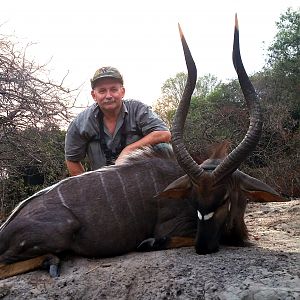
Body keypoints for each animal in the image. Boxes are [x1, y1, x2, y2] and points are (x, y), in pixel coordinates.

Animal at [0, 15, 284, 278]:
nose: (204, 248)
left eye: (224, 198)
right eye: (193, 200)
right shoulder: (174, 228)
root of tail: (5, 229)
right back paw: (52, 261)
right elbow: (161, 240)